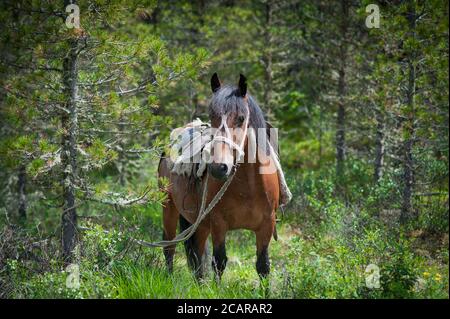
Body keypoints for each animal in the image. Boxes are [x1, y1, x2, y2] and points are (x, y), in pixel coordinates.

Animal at [156, 74, 280, 282]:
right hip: (169, 207)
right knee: (170, 247)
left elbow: (263, 266)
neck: (248, 187)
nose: (219, 168)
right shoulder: (218, 224)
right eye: (212, 116)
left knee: (197, 256)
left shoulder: (266, 226)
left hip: (199, 224)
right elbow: (219, 262)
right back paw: (169, 279)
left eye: (241, 118)